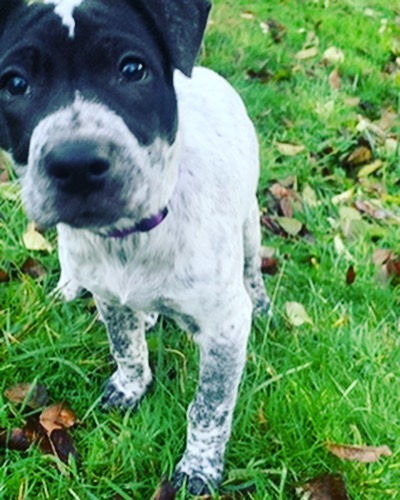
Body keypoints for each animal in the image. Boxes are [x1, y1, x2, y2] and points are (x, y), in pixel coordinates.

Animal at [0, 0, 270, 492]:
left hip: (249, 224)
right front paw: (130, 387)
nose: (76, 163)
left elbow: (210, 408)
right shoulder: (109, 296)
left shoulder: (224, 328)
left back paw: (262, 305)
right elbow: (125, 346)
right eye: (15, 83)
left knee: (252, 269)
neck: (133, 237)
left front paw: (198, 467)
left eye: (132, 69)